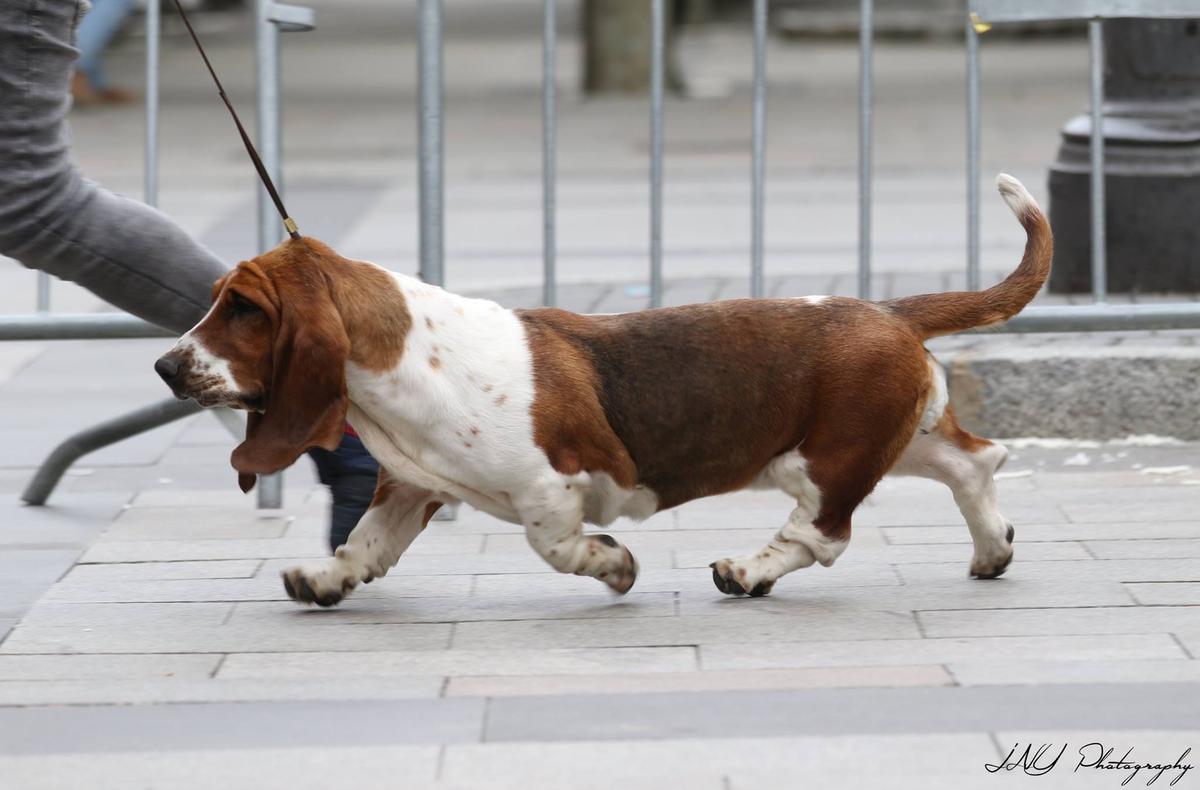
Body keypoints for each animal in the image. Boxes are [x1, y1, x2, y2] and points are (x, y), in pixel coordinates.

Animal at [154, 172, 1046, 602]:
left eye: (244, 309)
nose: (164, 367)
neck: (407, 358)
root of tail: (887, 308)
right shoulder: (409, 486)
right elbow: (365, 545)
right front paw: (325, 581)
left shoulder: (551, 488)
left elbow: (555, 545)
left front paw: (613, 565)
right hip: (888, 438)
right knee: (975, 462)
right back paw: (992, 552)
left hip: (826, 458)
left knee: (819, 534)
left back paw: (745, 572)